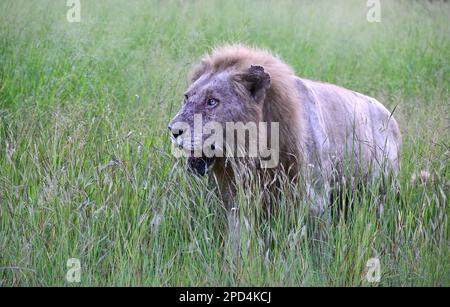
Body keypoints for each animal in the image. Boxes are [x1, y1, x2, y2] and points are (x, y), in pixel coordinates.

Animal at [168, 44, 400, 247]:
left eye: (212, 101)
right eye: (186, 97)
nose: (172, 130)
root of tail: (391, 118)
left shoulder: (315, 198)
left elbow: (316, 244)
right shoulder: (239, 199)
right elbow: (238, 239)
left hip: (381, 190)